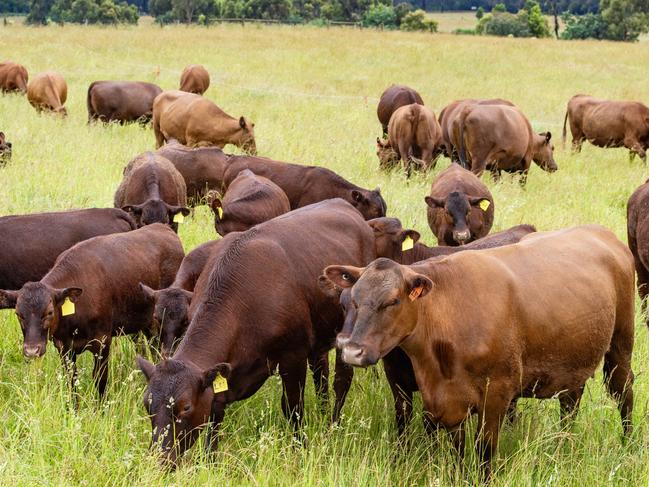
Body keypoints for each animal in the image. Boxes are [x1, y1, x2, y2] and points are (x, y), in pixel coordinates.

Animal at [0, 225, 184, 396]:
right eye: (19, 314)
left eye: (49, 312)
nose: (32, 350)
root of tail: (163, 227)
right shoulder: (64, 348)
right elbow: (72, 381)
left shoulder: (102, 342)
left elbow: (100, 380)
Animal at [137, 201, 378, 466]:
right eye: (147, 404)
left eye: (186, 407)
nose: (160, 460)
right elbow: (214, 415)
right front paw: (210, 460)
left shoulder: (293, 356)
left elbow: (292, 407)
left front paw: (300, 449)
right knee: (321, 373)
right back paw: (324, 412)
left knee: (341, 381)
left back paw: (333, 425)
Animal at [324, 227, 632, 478]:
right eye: (353, 300)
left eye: (393, 301)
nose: (352, 351)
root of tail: (600, 231)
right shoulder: (448, 403)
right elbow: (458, 452)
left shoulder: (497, 394)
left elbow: (484, 452)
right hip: (574, 361)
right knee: (570, 403)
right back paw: (562, 445)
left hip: (621, 345)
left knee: (623, 392)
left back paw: (628, 443)